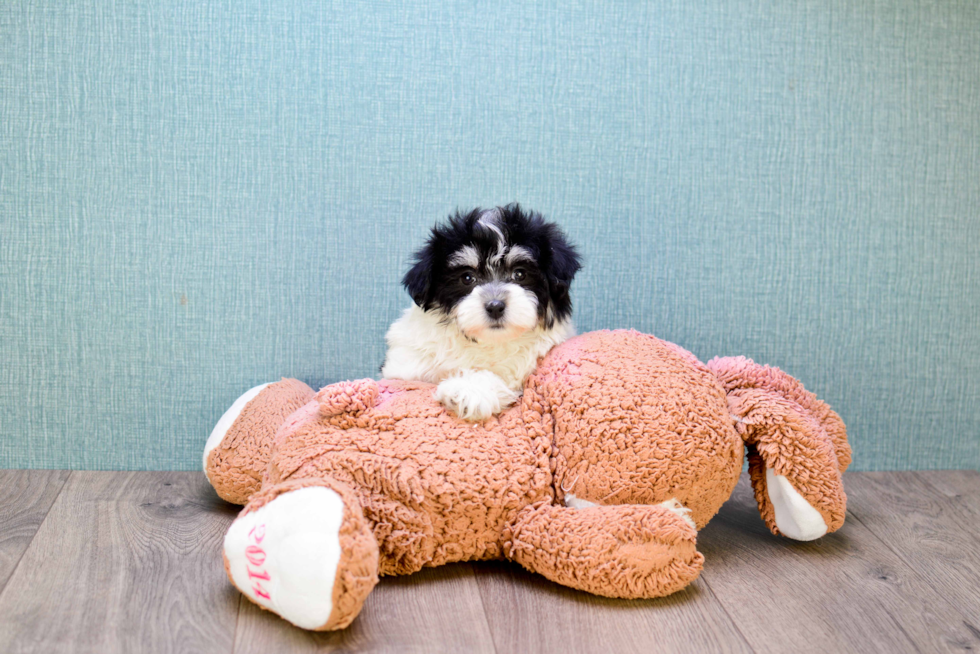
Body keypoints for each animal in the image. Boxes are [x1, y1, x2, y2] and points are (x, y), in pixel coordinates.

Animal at [380, 202, 580, 422]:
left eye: (520, 274)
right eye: (467, 278)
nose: (495, 306)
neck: (486, 343)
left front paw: (465, 390)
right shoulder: (405, 364)